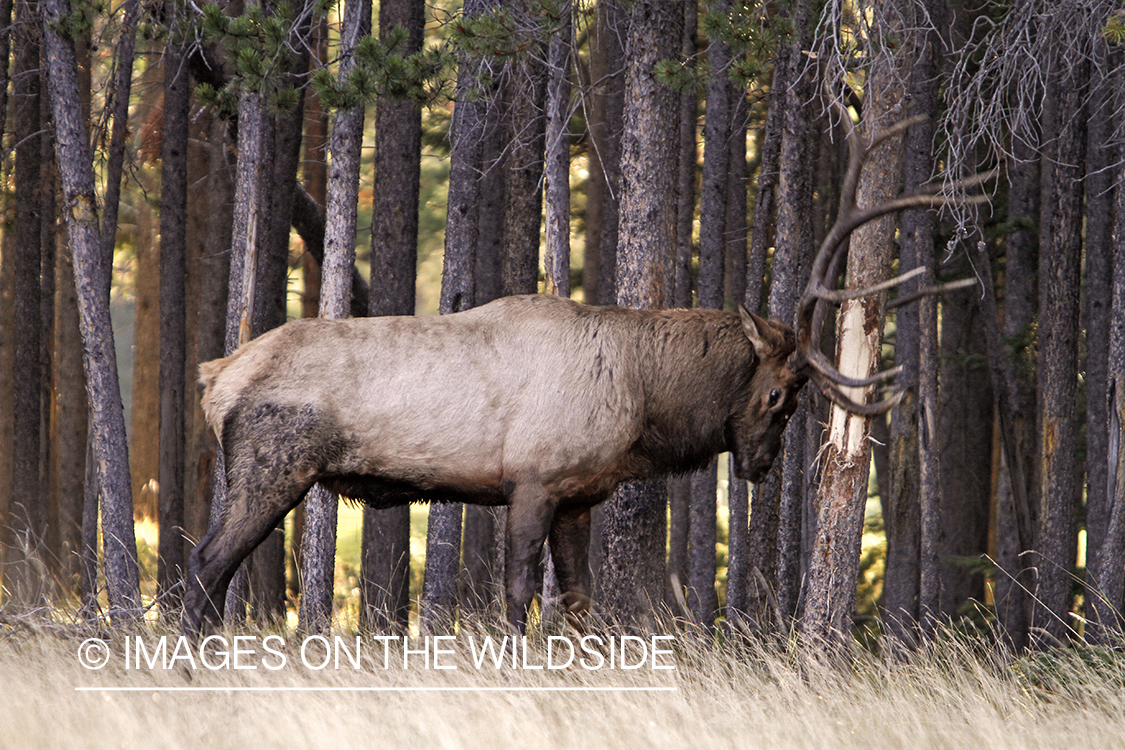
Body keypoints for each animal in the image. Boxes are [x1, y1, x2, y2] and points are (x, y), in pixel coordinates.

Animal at [177, 102, 994, 638]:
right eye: (780, 393)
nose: (759, 466)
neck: (642, 407)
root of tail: (216, 377)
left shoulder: (576, 497)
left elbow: (577, 602)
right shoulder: (531, 480)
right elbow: (515, 597)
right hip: (272, 465)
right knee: (205, 564)